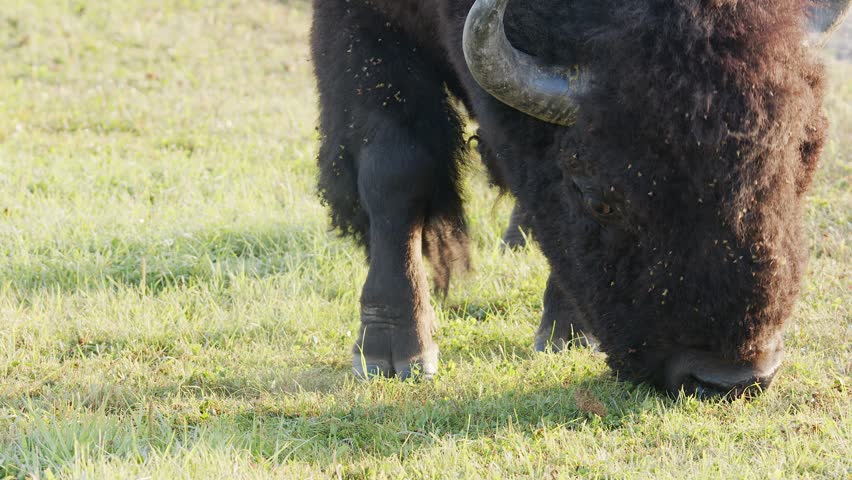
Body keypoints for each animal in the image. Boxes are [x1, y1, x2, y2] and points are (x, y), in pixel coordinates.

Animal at [310, 0, 850, 398]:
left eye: (805, 163)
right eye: (597, 198)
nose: (728, 379)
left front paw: (565, 334)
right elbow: (396, 171)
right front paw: (390, 355)